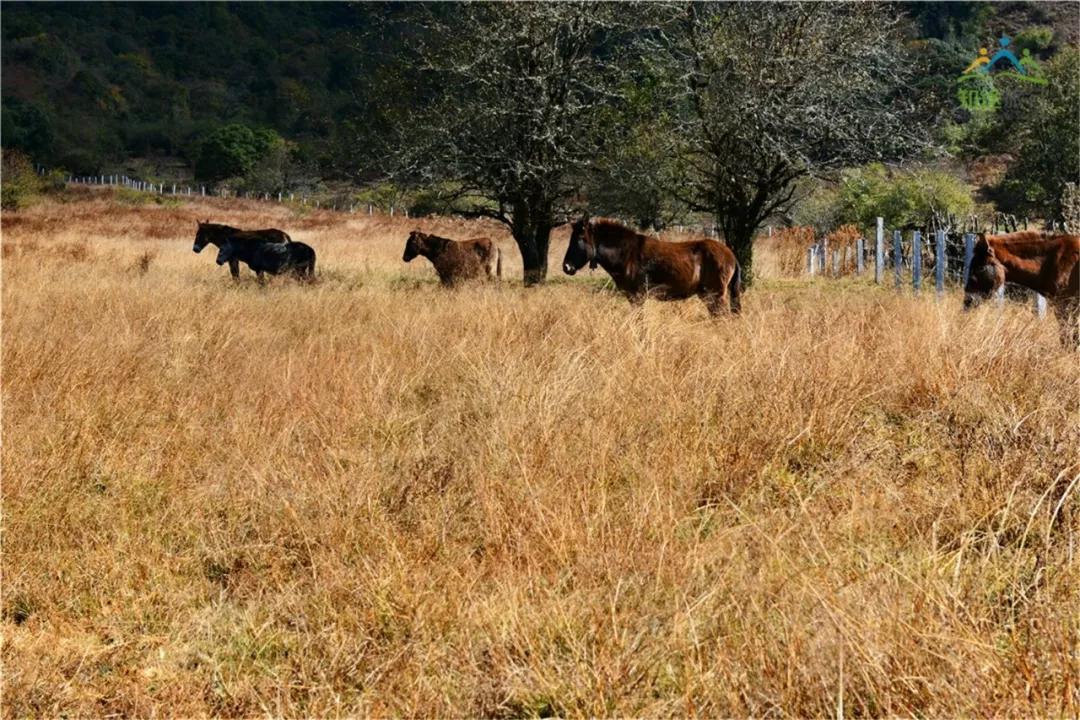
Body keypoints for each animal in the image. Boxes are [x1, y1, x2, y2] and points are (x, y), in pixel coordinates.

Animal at [557, 215, 743, 313]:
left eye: (580, 239)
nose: (566, 267)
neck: (626, 254)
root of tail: (731, 255)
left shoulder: (637, 297)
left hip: (716, 295)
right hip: (708, 296)